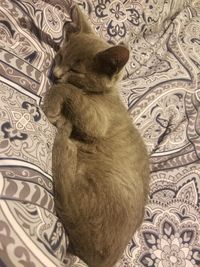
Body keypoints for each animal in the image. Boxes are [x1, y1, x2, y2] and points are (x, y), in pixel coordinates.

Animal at [43, 4, 150, 267]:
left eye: (75, 69)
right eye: (60, 56)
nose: (55, 73)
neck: (103, 94)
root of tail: (97, 259)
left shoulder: (98, 120)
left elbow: (67, 90)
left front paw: (53, 104)